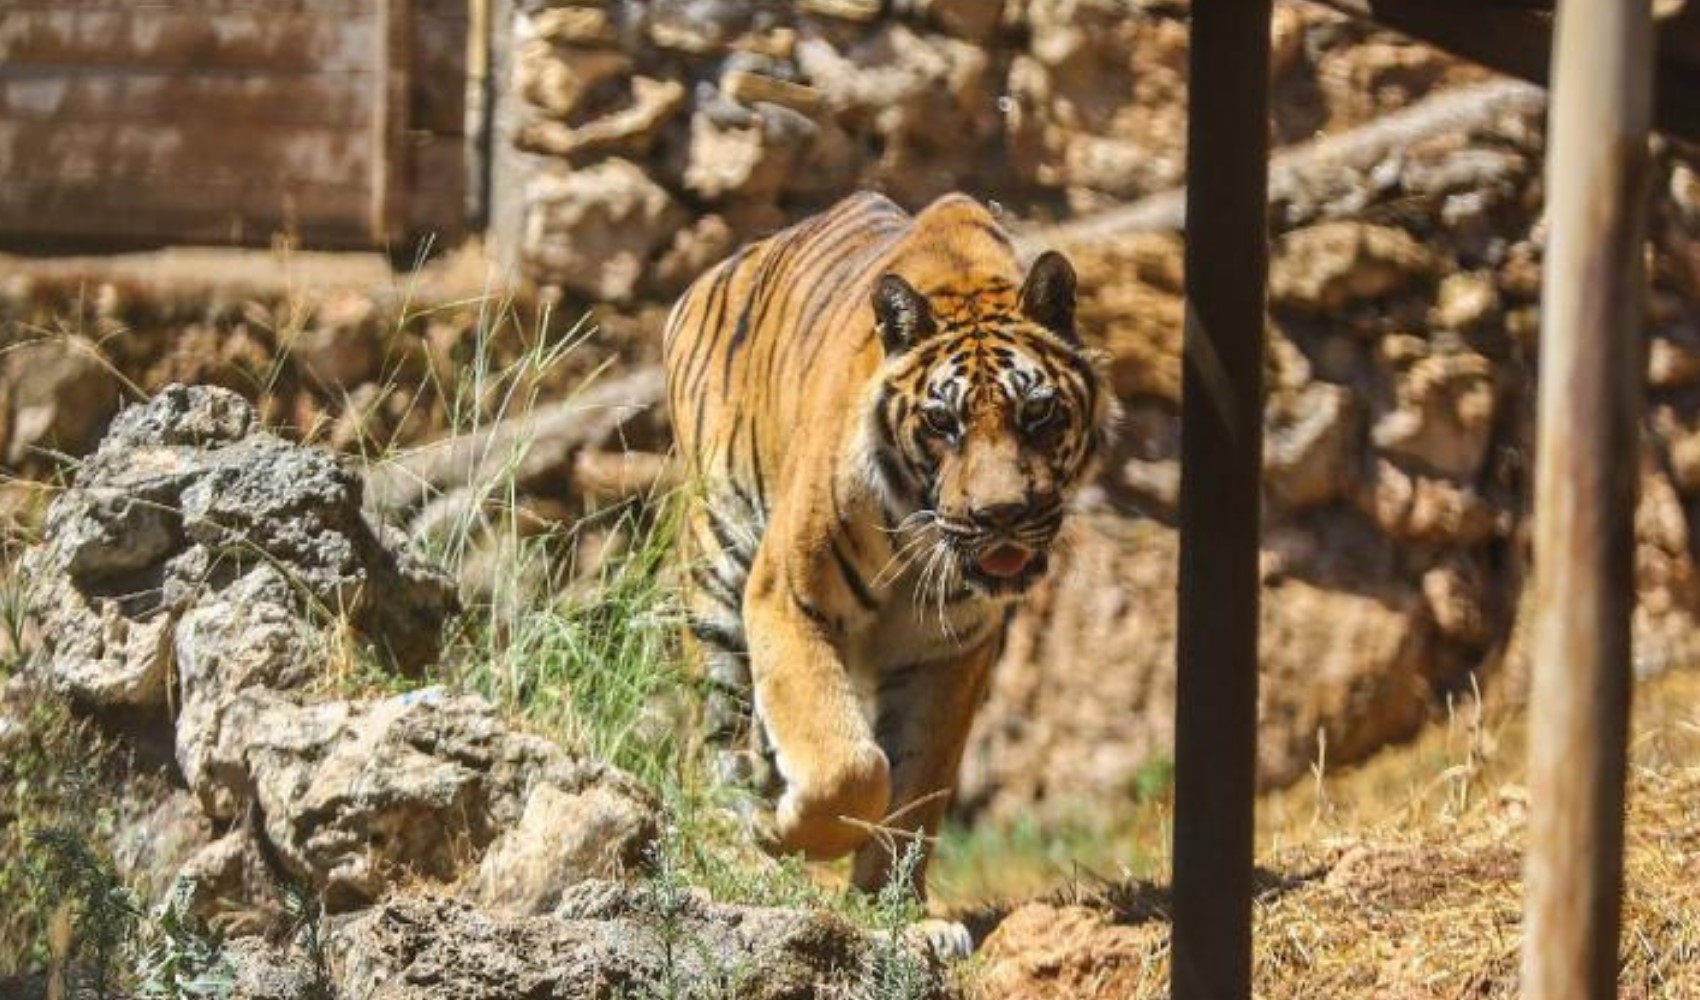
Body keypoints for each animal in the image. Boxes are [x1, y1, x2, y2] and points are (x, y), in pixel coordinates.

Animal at [663, 191, 1115, 904]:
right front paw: (787, 833)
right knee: (712, 737)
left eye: (1036, 413)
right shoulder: (786, 597)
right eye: (942, 421)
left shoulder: (950, 649)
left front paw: (892, 906)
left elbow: (915, 784)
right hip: (717, 570)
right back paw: (735, 843)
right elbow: (847, 767)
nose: (1001, 515)